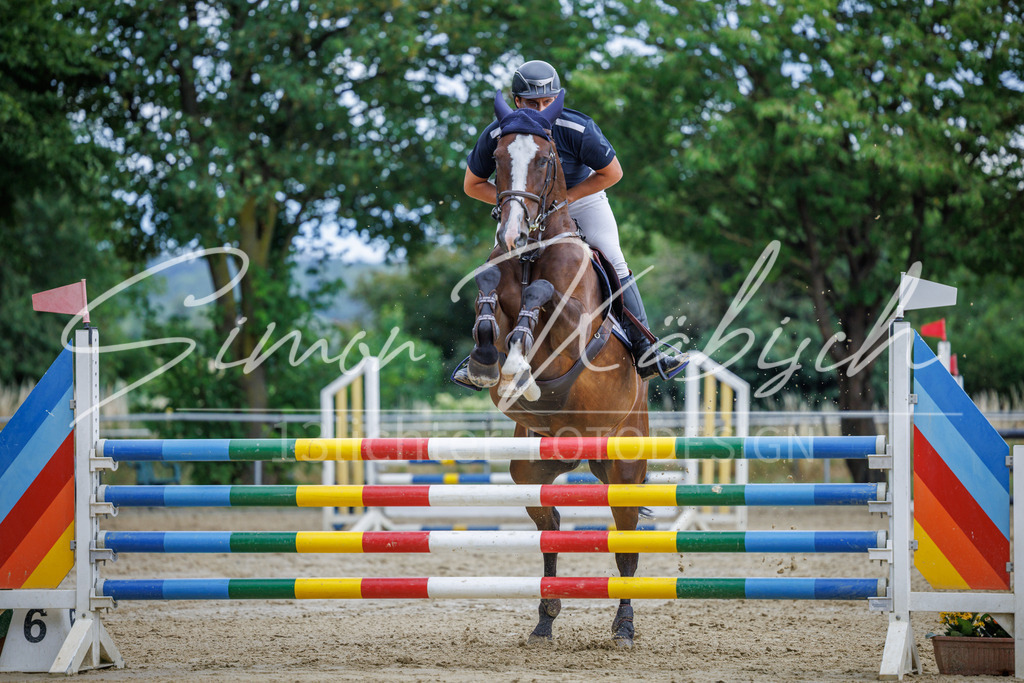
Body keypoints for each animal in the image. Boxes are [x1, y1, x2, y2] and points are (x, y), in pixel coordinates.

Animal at [465, 90, 650, 647]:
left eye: (547, 159)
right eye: (497, 158)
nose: (511, 233)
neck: (532, 253)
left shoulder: (572, 330)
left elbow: (540, 301)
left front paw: (517, 366)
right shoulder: (495, 300)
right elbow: (489, 308)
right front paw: (489, 365)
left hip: (625, 467)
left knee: (625, 540)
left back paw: (624, 626)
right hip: (530, 471)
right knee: (551, 525)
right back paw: (545, 618)